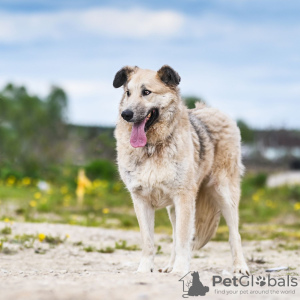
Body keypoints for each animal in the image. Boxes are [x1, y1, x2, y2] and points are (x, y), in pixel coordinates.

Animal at [112, 65, 248, 274]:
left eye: (146, 92)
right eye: (128, 92)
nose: (125, 114)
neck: (153, 147)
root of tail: (211, 109)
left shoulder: (184, 198)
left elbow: (185, 239)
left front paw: (180, 270)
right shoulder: (141, 200)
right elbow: (149, 241)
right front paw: (145, 269)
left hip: (224, 194)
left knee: (235, 234)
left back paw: (240, 266)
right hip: (174, 209)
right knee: (175, 237)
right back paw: (169, 266)